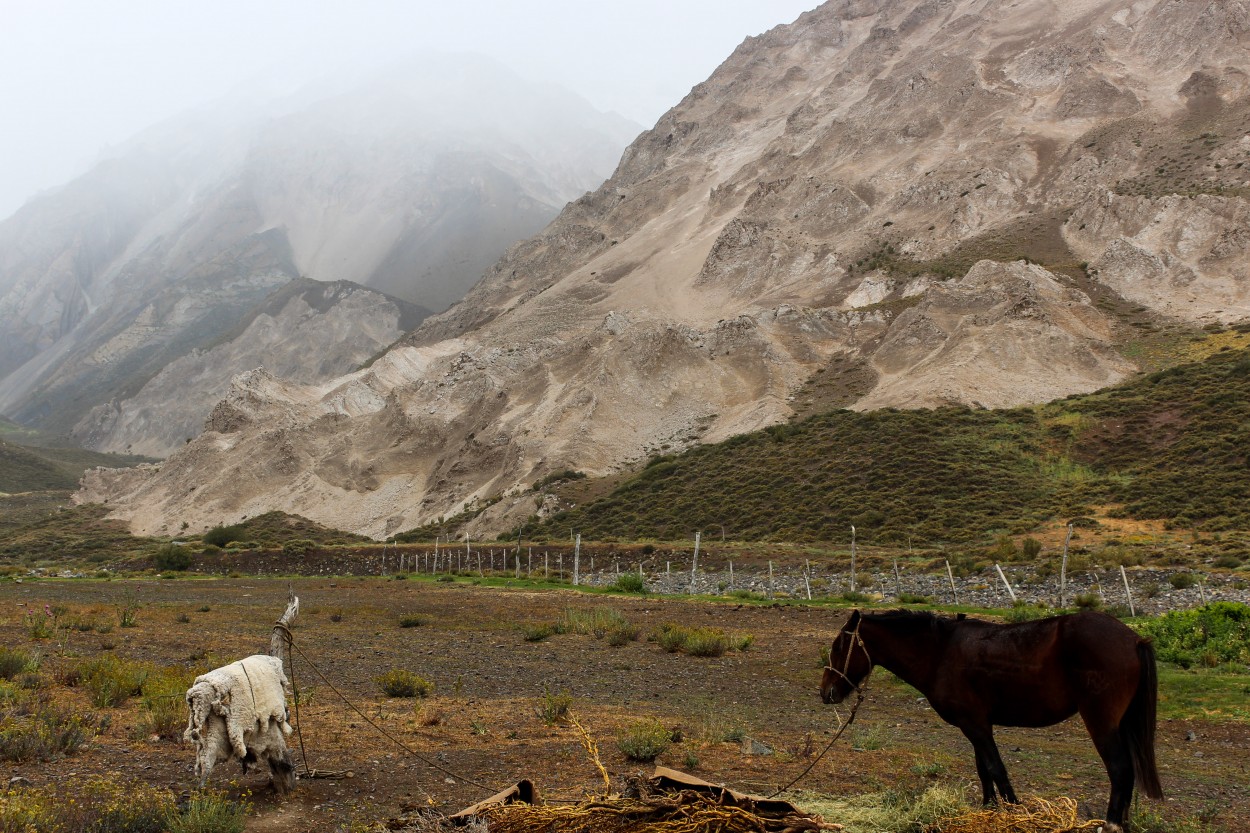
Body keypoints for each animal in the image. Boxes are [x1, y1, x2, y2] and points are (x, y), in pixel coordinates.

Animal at [820, 607, 1160, 825]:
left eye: (838, 647)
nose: (825, 692)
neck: (940, 653)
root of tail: (1134, 639)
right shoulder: (975, 724)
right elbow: (984, 769)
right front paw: (989, 809)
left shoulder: (976, 725)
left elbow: (996, 769)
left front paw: (1014, 812)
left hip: (1101, 723)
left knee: (1120, 770)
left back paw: (1111, 824)